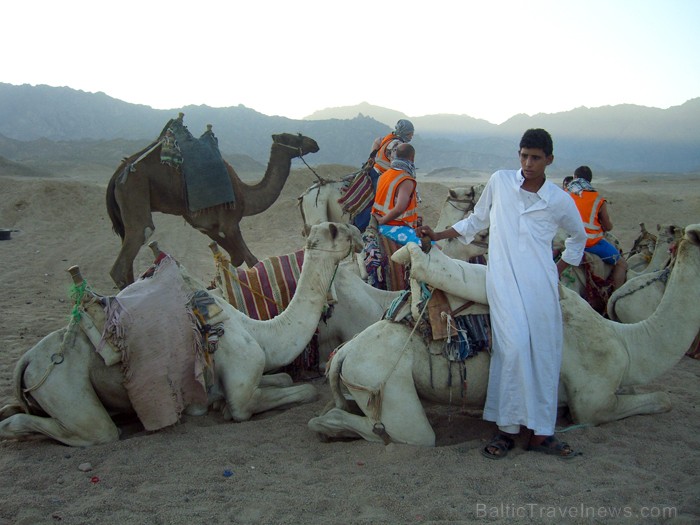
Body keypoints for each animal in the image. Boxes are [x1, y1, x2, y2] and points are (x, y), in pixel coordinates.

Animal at [4, 221, 366, 446]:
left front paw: (215, 404)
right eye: (334, 230)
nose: (357, 232)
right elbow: (295, 392)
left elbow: (287, 378)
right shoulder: (242, 389)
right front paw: (220, 410)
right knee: (93, 430)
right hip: (59, 383)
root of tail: (28, 360)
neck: (261, 332)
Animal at [105, 130, 318, 286]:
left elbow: (235, 258)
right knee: (133, 246)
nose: (314, 143)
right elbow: (252, 259)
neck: (244, 193)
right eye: (294, 137)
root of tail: (118, 174)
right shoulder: (230, 223)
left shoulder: (208, 227)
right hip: (134, 189)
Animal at [310, 225, 700, 446]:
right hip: (379, 380)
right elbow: (662, 399)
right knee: (406, 434)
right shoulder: (594, 402)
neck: (625, 342)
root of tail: (344, 353)